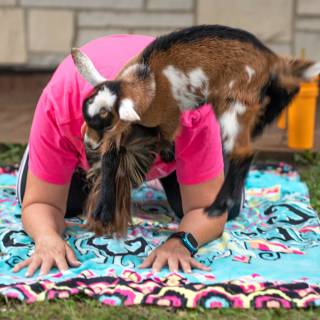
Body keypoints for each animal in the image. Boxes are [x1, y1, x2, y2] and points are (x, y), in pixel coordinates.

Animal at [72, 24, 320, 235]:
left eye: (106, 122)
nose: (88, 142)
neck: (147, 78)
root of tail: (270, 58)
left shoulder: (164, 115)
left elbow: (163, 134)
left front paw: (166, 151)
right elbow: (110, 158)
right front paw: (103, 209)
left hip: (234, 104)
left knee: (244, 152)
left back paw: (218, 206)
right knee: (286, 90)